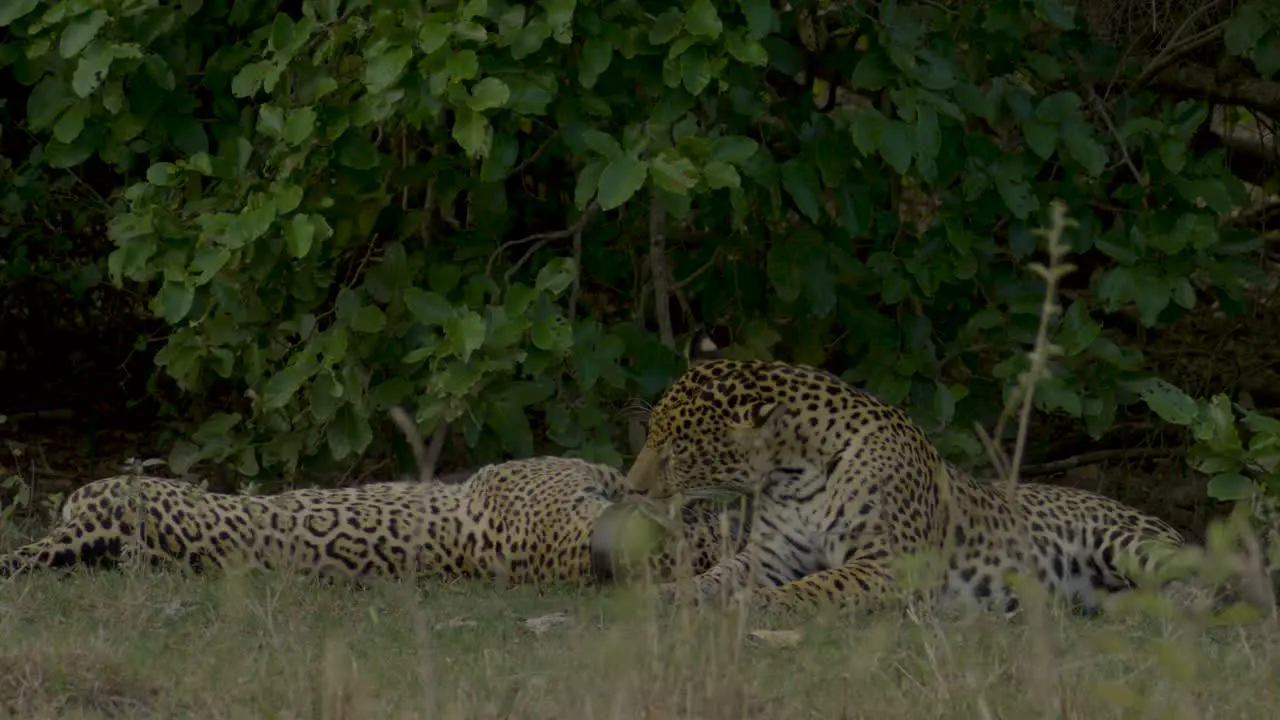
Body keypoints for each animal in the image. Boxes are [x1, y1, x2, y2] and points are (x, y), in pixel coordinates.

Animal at [624, 330, 1244, 617]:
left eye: (678, 448)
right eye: (650, 433)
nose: (633, 488)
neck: (794, 475)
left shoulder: (888, 564)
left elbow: (817, 585)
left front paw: (760, 606)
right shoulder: (771, 554)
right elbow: (716, 575)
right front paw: (670, 593)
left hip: (1129, 542)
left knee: (1212, 582)